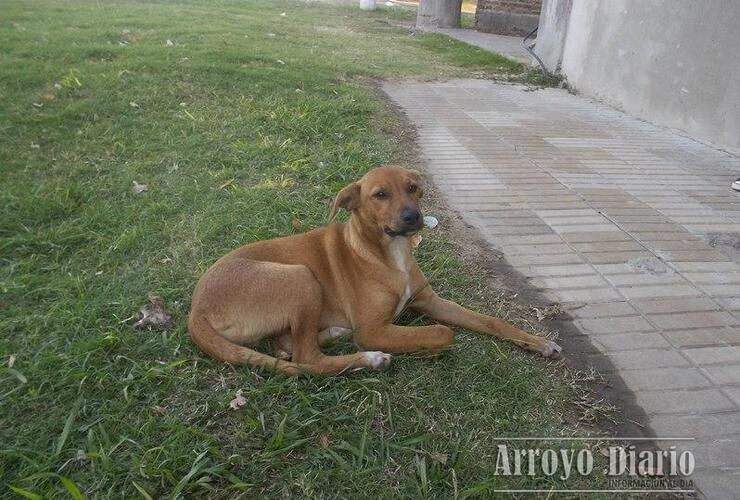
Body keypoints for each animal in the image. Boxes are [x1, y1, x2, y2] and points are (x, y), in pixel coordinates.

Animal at [189, 166, 560, 374]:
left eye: (412, 187)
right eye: (379, 195)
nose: (413, 217)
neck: (389, 254)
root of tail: (196, 309)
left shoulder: (430, 301)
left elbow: (491, 321)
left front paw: (538, 342)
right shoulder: (372, 329)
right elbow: (444, 332)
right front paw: (431, 345)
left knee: (288, 346)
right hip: (301, 277)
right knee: (306, 358)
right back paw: (369, 360)